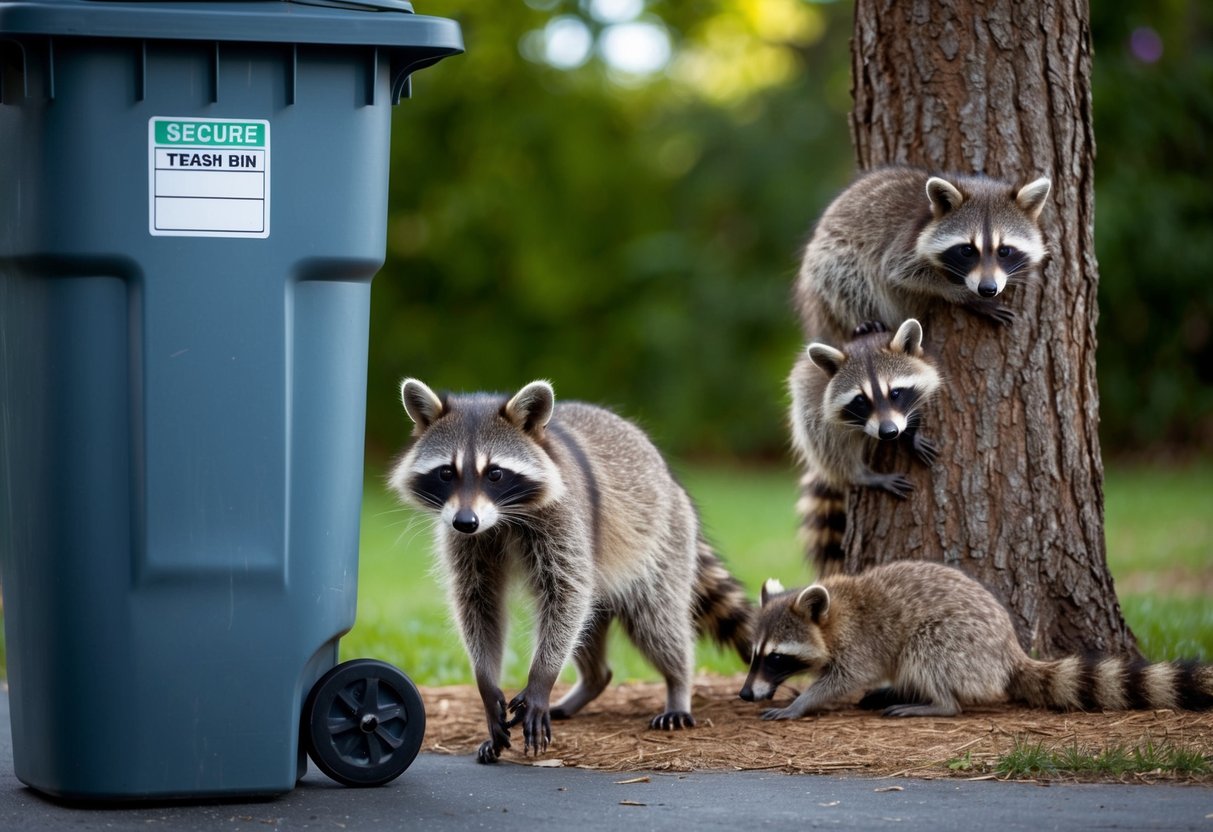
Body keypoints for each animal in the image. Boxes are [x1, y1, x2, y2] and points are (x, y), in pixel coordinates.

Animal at [388, 379, 754, 763]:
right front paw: (486, 683)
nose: (466, 521)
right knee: (590, 627)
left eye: (495, 473)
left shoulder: (565, 517)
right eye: (446, 472)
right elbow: (478, 603)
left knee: (656, 621)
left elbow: (566, 595)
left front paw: (541, 679)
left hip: (662, 541)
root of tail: (671, 480)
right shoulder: (466, 541)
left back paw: (679, 684)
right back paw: (593, 680)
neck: (501, 517)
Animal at [740, 562, 1213, 718]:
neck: (832, 615)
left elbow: (845, 677)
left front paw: (803, 702)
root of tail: (1010, 650)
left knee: (926, 651)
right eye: (753, 655)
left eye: (776, 658)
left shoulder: (860, 641)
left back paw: (939, 702)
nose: (745, 693)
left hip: (961, 641)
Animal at [790, 319, 942, 577]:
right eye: (861, 400)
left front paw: (911, 431)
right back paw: (860, 474)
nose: (889, 432)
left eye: (895, 393)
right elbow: (828, 437)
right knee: (828, 444)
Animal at [794, 166, 1052, 343]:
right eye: (967, 250)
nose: (987, 289)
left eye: (1004, 250)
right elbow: (899, 272)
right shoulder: (904, 242)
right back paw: (862, 320)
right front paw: (962, 294)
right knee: (843, 274)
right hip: (829, 256)